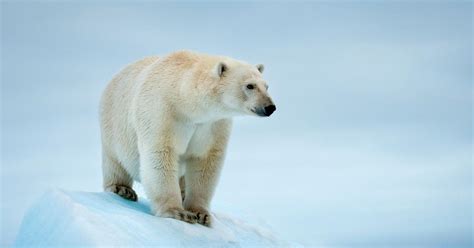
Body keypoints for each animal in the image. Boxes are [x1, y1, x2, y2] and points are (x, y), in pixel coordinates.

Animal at [101, 50, 278, 227]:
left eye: (266, 86)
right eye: (250, 85)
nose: (270, 107)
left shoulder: (212, 124)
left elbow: (205, 161)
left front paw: (201, 214)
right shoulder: (161, 111)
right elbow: (161, 153)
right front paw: (177, 212)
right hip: (113, 124)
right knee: (114, 161)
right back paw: (122, 189)